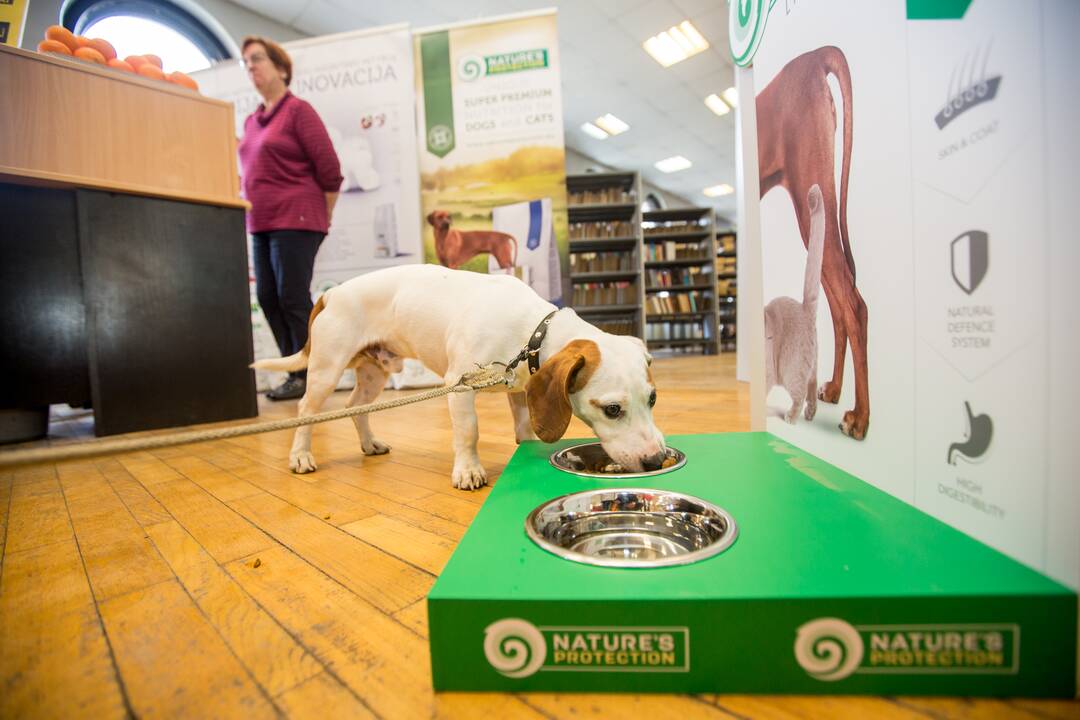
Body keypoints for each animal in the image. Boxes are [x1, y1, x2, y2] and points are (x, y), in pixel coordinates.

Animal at [250, 264, 665, 490]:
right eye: (612, 409)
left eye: (653, 399)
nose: (656, 460)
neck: (534, 331)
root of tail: (331, 294)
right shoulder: (458, 388)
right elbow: (469, 433)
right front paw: (468, 470)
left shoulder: (519, 387)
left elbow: (524, 423)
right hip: (326, 370)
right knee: (307, 411)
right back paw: (301, 455)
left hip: (372, 375)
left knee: (355, 407)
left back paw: (368, 443)